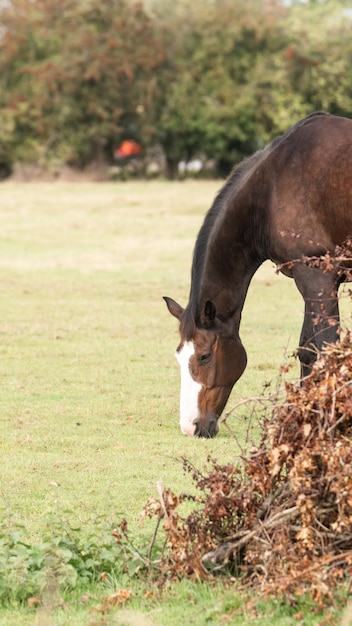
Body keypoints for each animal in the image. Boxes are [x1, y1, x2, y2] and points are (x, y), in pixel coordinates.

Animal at [164, 109, 352, 436]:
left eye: (204, 356)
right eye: (178, 356)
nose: (190, 427)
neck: (272, 186)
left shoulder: (317, 276)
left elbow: (325, 349)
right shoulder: (309, 276)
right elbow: (308, 350)